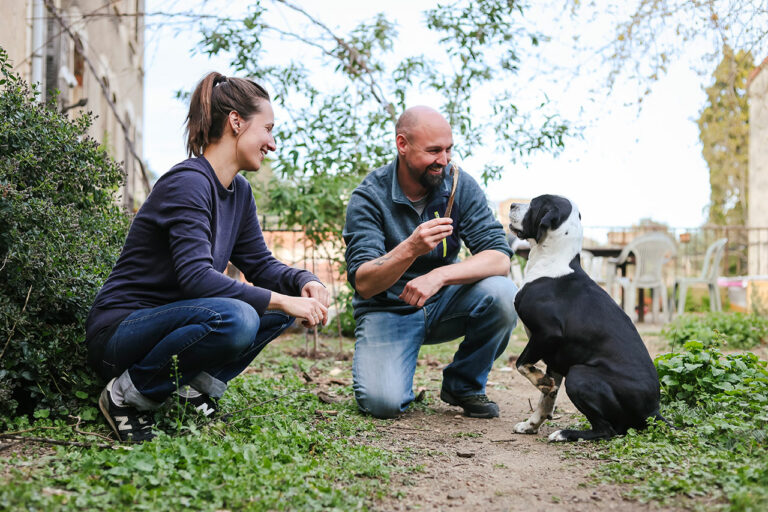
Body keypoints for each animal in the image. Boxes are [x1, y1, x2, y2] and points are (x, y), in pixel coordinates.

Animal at [508, 194, 664, 442]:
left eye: (534, 203)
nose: (512, 204)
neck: (553, 260)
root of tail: (653, 411)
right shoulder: (555, 358)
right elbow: (546, 400)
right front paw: (531, 425)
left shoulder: (547, 334)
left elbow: (521, 363)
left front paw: (539, 380)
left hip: (578, 375)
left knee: (607, 430)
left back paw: (564, 434)